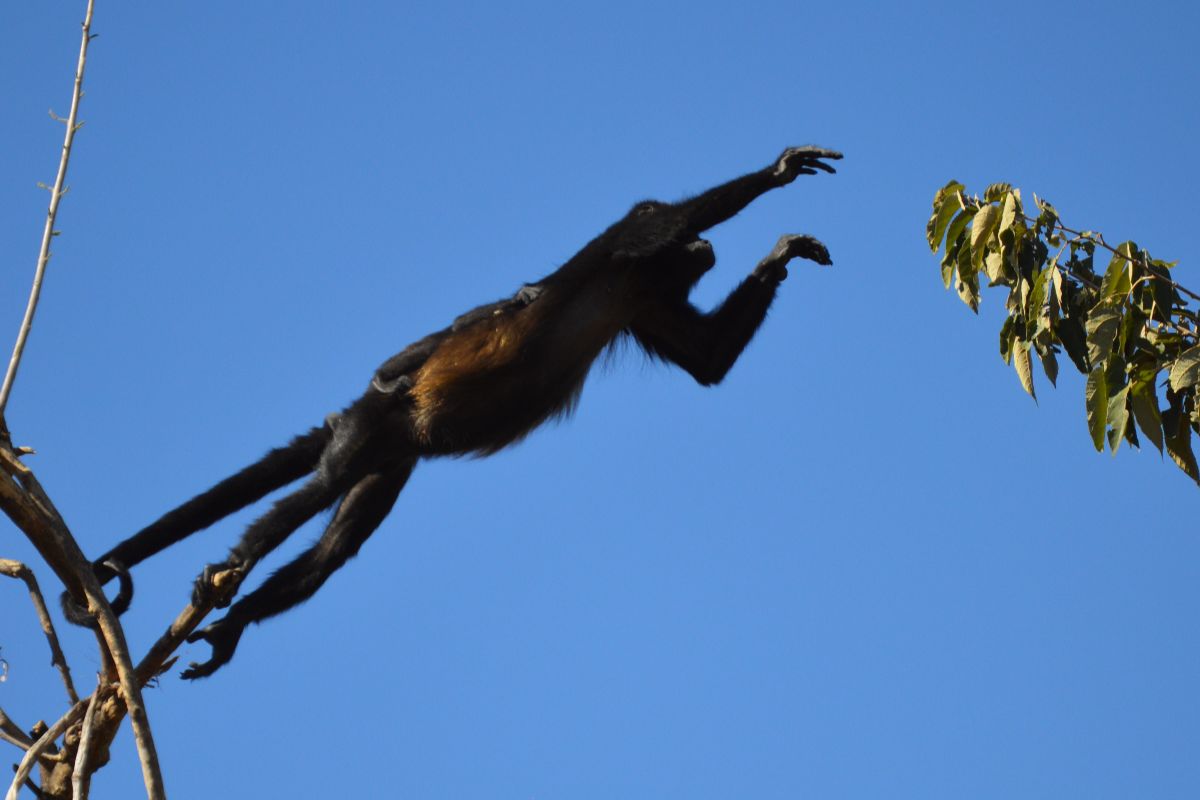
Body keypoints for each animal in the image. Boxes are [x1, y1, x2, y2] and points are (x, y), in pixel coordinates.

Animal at [63, 145, 842, 678]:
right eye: (691, 241)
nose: (709, 248)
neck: (639, 280)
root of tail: (360, 412)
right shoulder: (627, 241)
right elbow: (667, 216)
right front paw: (777, 172)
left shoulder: (646, 301)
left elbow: (708, 362)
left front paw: (783, 252)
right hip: (368, 429)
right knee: (321, 485)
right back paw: (240, 560)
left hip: (390, 459)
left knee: (330, 551)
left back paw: (236, 626)